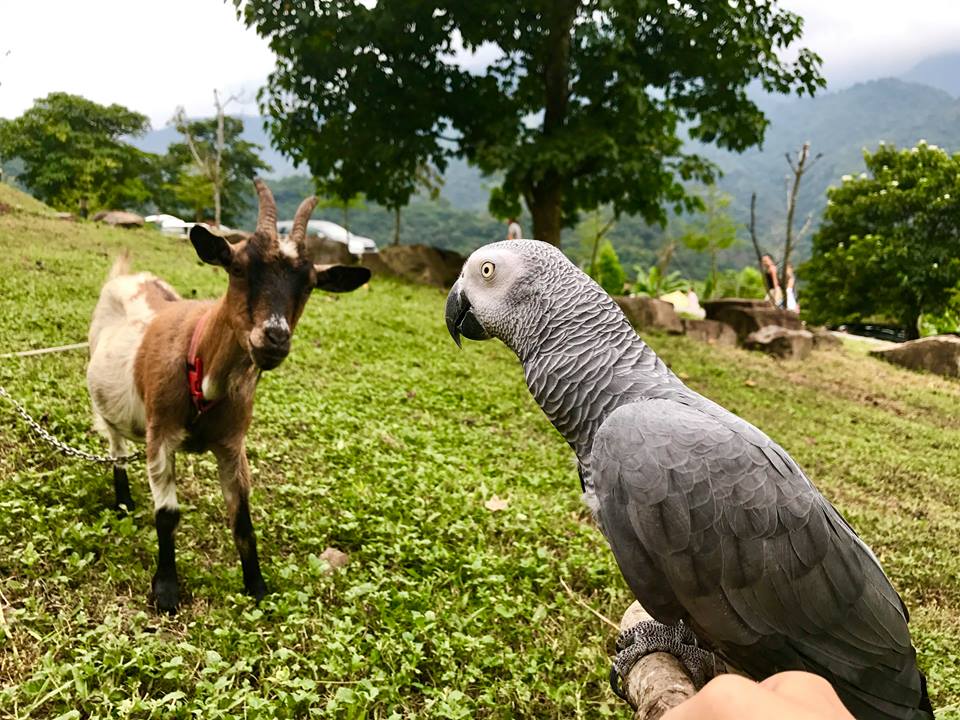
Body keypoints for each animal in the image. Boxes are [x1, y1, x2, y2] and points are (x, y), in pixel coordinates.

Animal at [87, 180, 372, 612]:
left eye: (309, 285)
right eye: (237, 268)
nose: (274, 337)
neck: (199, 363)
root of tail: (126, 274)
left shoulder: (232, 444)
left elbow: (242, 521)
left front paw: (257, 587)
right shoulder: (160, 433)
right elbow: (167, 514)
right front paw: (166, 590)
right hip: (108, 406)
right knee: (115, 446)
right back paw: (123, 501)